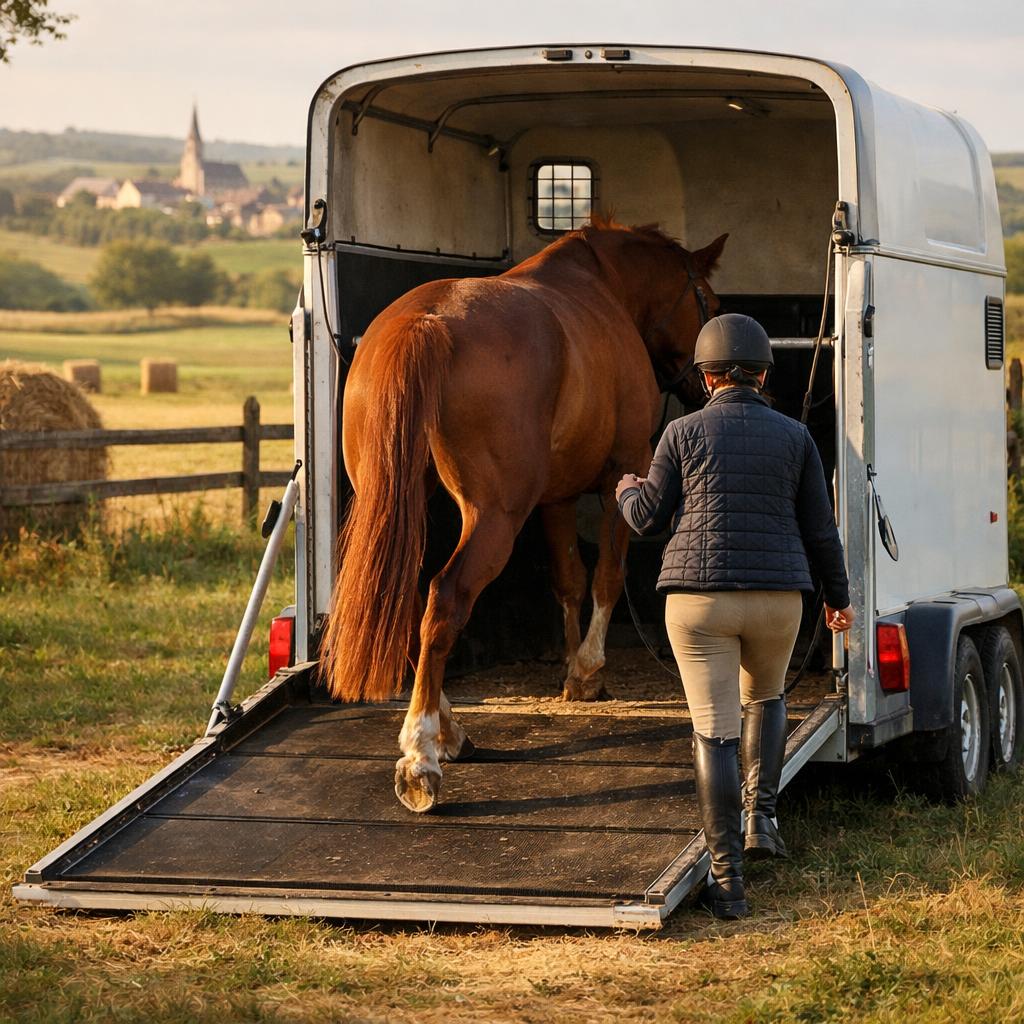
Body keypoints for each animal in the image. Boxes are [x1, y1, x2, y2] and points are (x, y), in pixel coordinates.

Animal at [321, 217, 727, 812]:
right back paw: (421, 755)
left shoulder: (555, 498)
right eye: (709, 303)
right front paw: (588, 668)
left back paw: (451, 733)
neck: (604, 286)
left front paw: (574, 670)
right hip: (495, 516)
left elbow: (569, 580)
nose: (704, 387)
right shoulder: (623, 472)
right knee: (445, 599)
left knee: (412, 601)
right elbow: (607, 577)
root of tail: (427, 323)